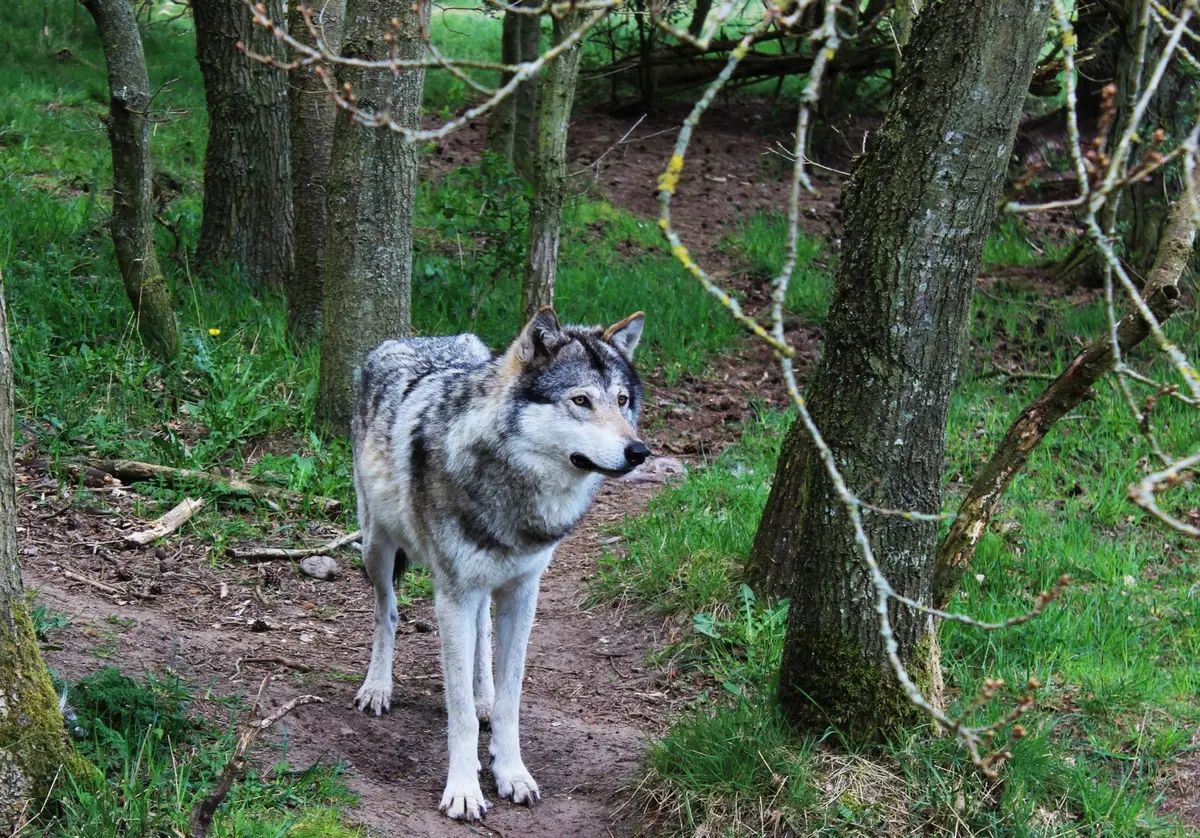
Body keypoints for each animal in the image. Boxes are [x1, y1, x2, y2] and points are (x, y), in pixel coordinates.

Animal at [348, 304, 648, 816]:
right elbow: (460, 715)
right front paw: (464, 791)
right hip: (377, 547)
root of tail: (419, 337)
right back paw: (377, 688)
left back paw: (481, 694)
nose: (638, 451)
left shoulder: (523, 593)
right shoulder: (452, 595)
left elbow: (510, 700)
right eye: (581, 400)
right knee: (386, 612)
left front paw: (511, 773)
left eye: (623, 399)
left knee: (481, 634)